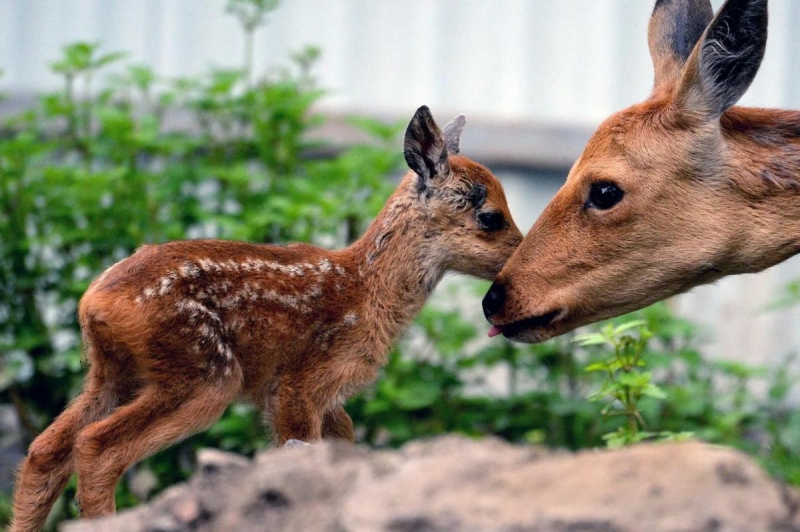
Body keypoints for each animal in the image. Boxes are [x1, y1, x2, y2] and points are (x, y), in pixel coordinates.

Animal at [10, 106, 524, 528]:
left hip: (112, 373)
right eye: (491, 216)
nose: (519, 260)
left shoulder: (326, 400)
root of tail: (93, 302)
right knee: (96, 447)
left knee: (44, 451)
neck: (367, 292)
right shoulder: (298, 385)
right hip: (202, 372)